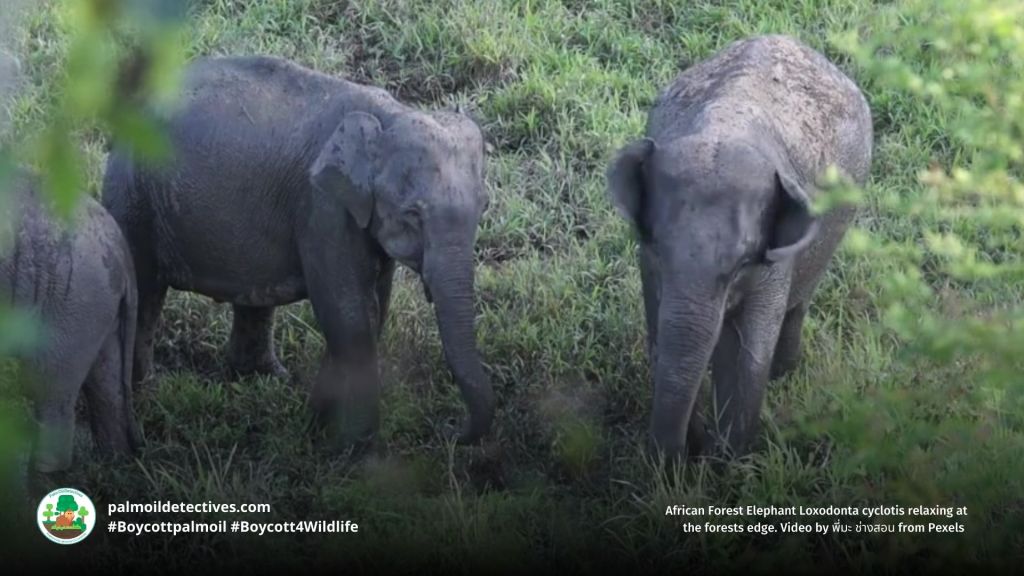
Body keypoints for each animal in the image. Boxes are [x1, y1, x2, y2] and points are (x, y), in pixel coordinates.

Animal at [0, 169, 141, 474]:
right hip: (99, 304)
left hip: (75, 297)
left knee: (49, 382)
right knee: (105, 384)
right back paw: (115, 461)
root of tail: (122, 252)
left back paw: (44, 471)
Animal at [101, 55, 495, 444]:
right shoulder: (323, 208)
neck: (388, 115)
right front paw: (356, 444)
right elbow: (347, 313)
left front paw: (319, 423)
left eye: (482, 207)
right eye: (413, 215)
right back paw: (145, 395)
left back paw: (261, 378)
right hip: (134, 191)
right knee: (144, 291)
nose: (450, 432)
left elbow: (375, 308)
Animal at [607, 35, 873, 460]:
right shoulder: (646, 263)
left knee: (799, 302)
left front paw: (728, 462)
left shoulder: (774, 262)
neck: (725, 124)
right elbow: (663, 331)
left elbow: (747, 354)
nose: (679, 458)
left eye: (742, 263)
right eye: (659, 253)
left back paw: (783, 374)